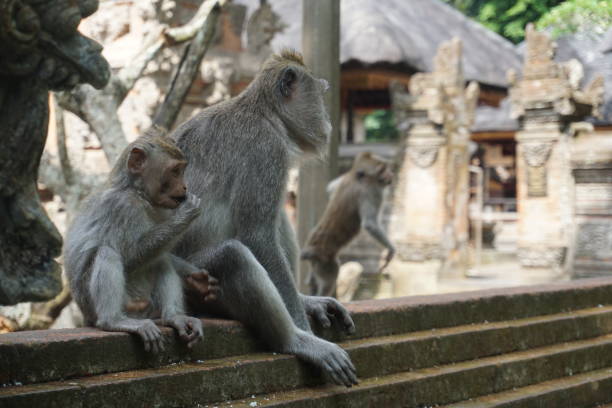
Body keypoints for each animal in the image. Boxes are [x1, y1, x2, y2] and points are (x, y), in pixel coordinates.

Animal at [64, 128, 218, 354]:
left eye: (181, 170)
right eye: (175, 171)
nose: (184, 186)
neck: (138, 194)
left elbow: (160, 255)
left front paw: (196, 277)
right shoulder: (122, 207)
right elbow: (131, 257)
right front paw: (186, 213)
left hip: (146, 306)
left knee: (160, 259)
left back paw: (174, 317)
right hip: (103, 305)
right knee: (107, 253)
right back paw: (114, 321)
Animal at [302, 151, 396, 298]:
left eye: (386, 167)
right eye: (382, 170)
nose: (391, 174)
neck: (356, 178)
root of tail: (310, 251)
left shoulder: (345, 178)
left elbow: (330, 188)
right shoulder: (371, 192)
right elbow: (370, 224)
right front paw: (391, 250)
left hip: (316, 265)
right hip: (325, 264)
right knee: (330, 278)